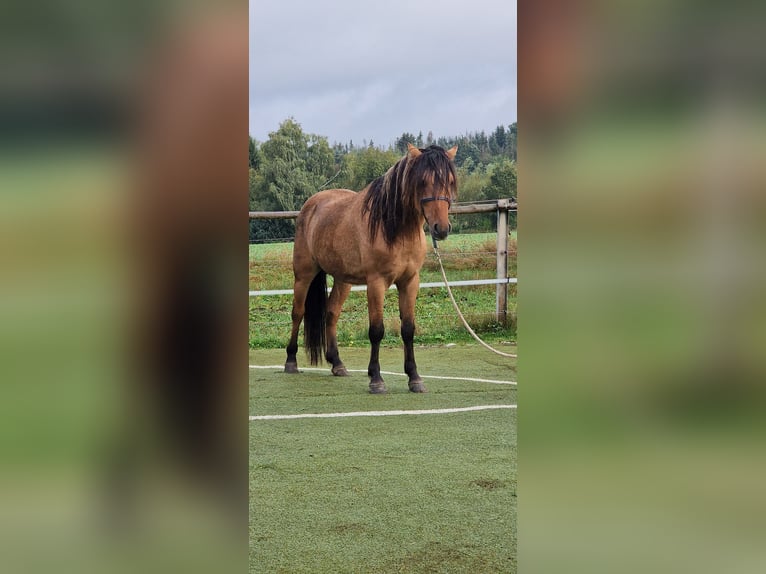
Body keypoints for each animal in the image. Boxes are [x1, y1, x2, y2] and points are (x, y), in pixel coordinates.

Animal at [284, 145, 460, 396]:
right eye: (422, 181)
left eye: (450, 181)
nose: (441, 228)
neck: (394, 229)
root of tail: (311, 204)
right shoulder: (376, 283)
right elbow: (376, 330)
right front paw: (376, 379)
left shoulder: (410, 282)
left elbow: (408, 329)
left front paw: (414, 378)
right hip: (303, 274)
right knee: (297, 313)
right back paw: (291, 361)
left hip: (343, 280)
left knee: (331, 312)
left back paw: (337, 363)